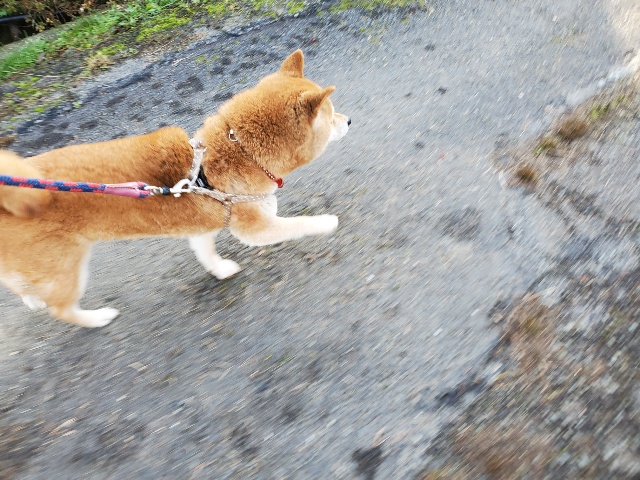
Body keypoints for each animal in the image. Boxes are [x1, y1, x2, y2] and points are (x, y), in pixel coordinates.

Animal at [0, 50, 350, 327]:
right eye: (332, 114)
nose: (348, 122)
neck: (234, 156)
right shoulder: (257, 228)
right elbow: (300, 224)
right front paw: (326, 222)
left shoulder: (202, 226)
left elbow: (207, 253)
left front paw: (220, 270)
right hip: (66, 267)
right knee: (60, 309)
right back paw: (96, 318)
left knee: (21, 284)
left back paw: (33, 298)